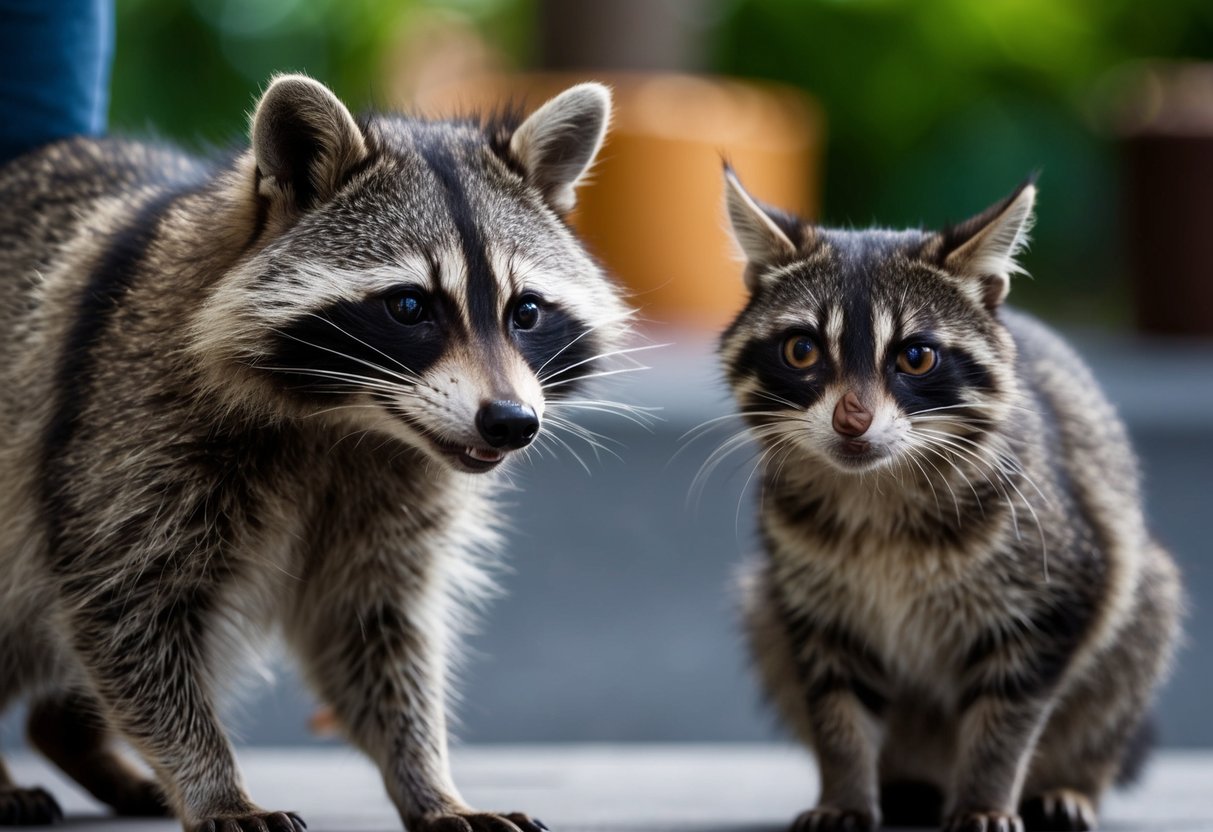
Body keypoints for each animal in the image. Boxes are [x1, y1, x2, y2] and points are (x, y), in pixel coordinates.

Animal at [0, 75, 630, 831]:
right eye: (410, 307)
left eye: (526, 312)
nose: (511, 422)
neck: (351, 422)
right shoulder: (121, 434)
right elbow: (128, 611)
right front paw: (212, 781)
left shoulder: (396, 495)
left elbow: (372, 628)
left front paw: (428, 780)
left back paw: (68, 737)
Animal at [719, 168, 1181, 832]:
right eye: (802, 350)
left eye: (915, 356)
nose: (851, 420)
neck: (877, 500)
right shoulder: (817, 613)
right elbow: (838, 714)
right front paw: (845, 793)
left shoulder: (1053, 597)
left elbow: (1005, 719)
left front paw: (986, 796)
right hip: (764, 602)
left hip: (1147, 595)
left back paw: (1071, 785)